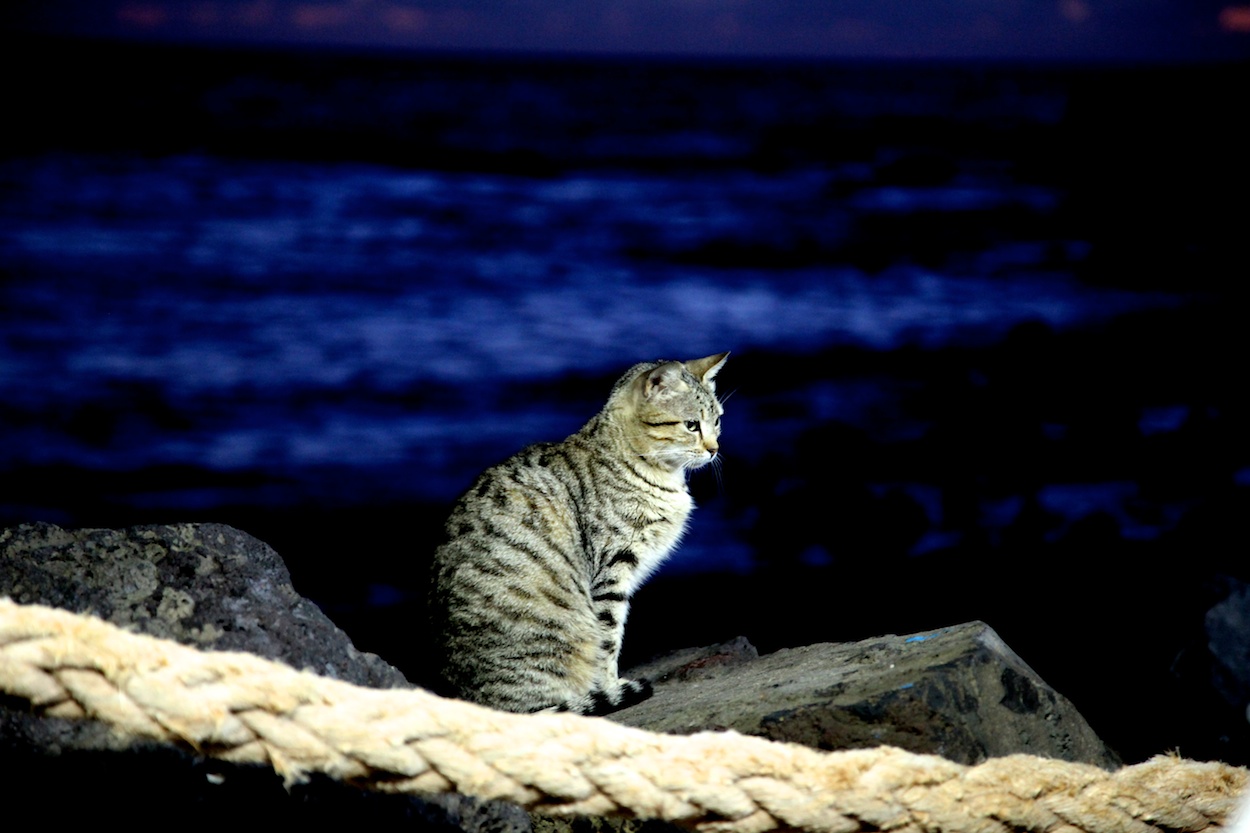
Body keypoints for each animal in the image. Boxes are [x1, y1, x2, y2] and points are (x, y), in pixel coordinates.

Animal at [430, 352, 730, 715]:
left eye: (717, 420)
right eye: (691, 425)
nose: (714, 449)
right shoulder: (612, 569)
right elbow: (608, 639)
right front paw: (610, 686)